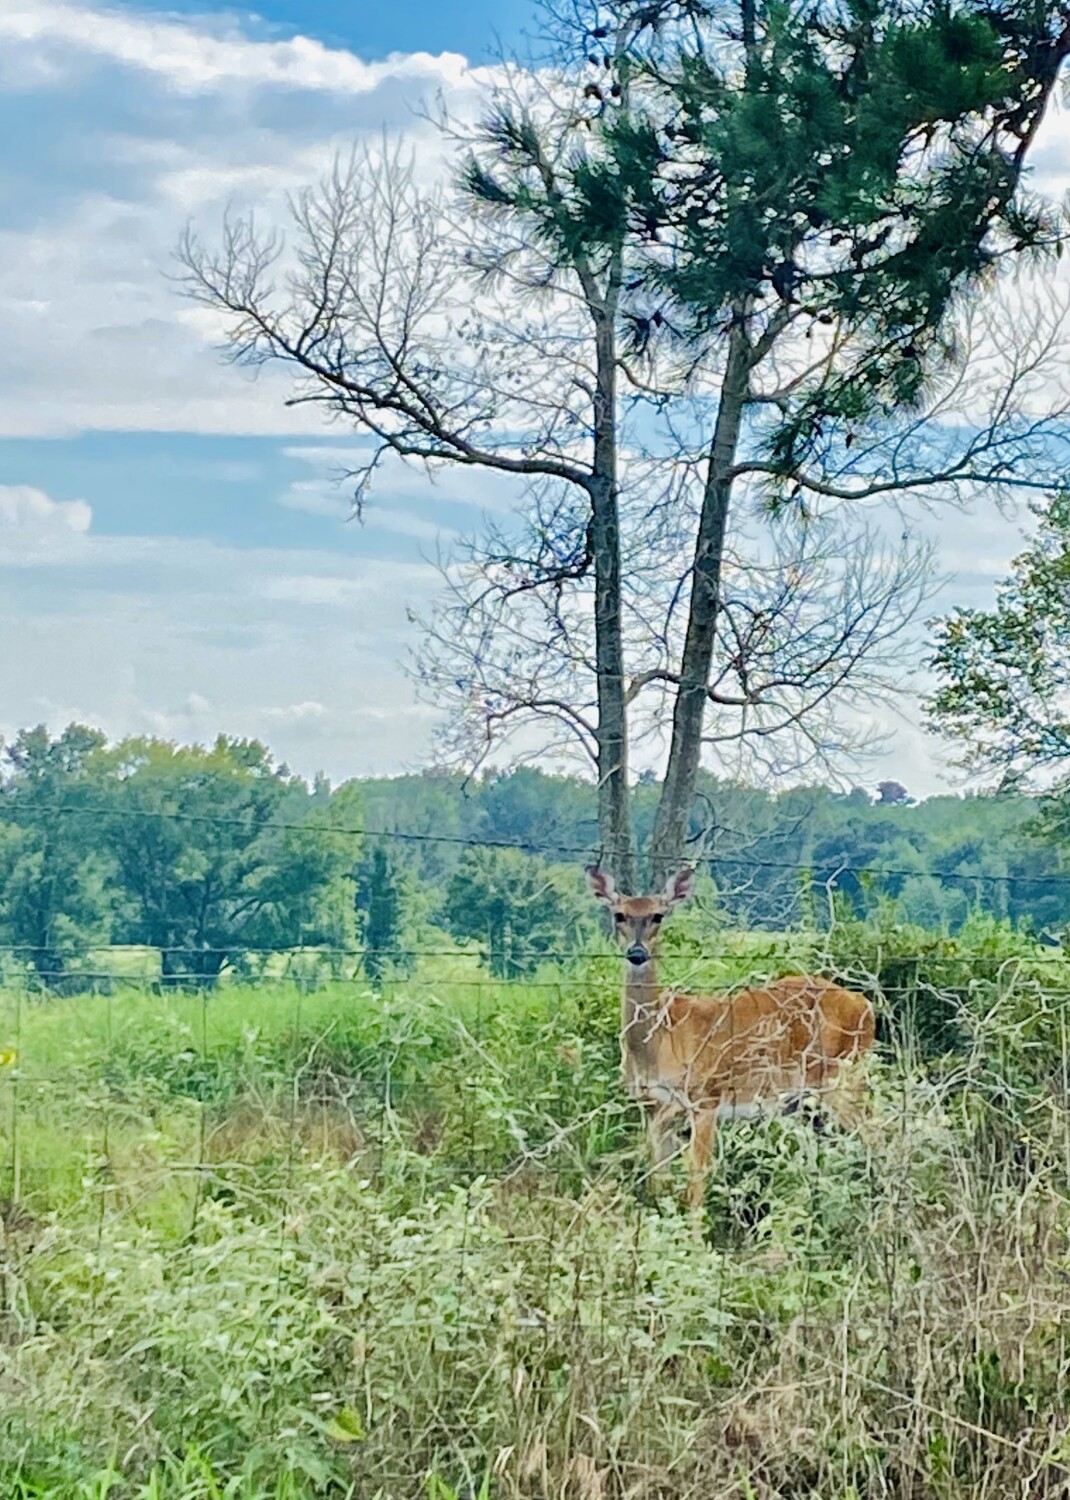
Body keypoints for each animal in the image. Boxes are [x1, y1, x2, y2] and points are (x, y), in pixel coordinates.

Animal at [587, 864, 876, 1210]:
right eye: (619, 914)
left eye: (658, 915)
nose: (637, 953)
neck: (659, 1043)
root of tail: (866, 1006)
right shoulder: (654, 1107)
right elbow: (659, 1179)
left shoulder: (705, 1098)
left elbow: (696, 1179)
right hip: (802, 1100)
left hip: (842, 1075)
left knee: (877, 1134)